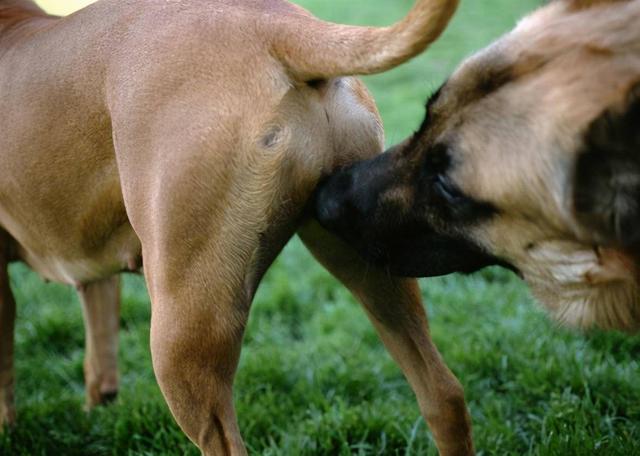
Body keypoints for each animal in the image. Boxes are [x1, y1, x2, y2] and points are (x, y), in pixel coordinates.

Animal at [0, 0, 476, 456]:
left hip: (182, 328)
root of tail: (276, 24)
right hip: (371, 262)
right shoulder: (91, 270)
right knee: (444, 394)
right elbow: (99, 355)